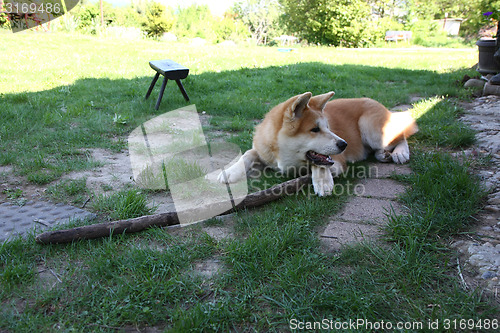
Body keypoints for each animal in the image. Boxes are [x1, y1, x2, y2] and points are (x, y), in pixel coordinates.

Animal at [219, 91, 418, 195]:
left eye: (328, 127)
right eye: (315, 129)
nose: (344, 144)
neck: (284, 156)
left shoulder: (336, 162)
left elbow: (320, 163)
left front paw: (322, 182)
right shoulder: (262, 151)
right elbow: (247, 154)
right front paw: (230, 171)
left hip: (371, 128)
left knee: (401, 134)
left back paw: (400, 153)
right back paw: (382, 154)